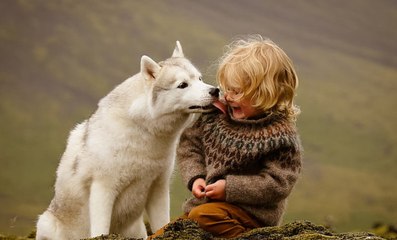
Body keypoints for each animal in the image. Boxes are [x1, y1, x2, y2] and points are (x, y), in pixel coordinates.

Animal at [35, 42, 218, 239]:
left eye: (199, 78)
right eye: (182, 85)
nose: (216, 91)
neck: (145, 132)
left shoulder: (158, 188)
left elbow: (162, 223)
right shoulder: (103, 189)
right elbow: (100, 230)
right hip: (46, 223)